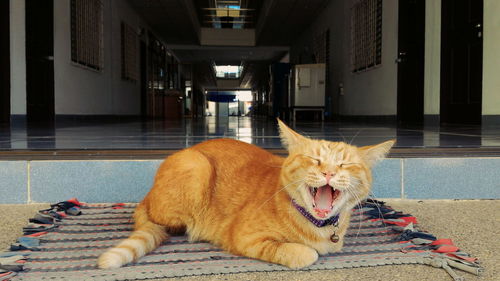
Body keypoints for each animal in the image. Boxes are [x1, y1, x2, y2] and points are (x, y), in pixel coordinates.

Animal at [97, 119, 394, 268]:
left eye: (346, 165)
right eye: (314, 159)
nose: (329, 173)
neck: (319, 227)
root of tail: (146, 197)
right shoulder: (245, 237)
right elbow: (305, 254)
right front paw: (306, 251)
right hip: (196, 165)